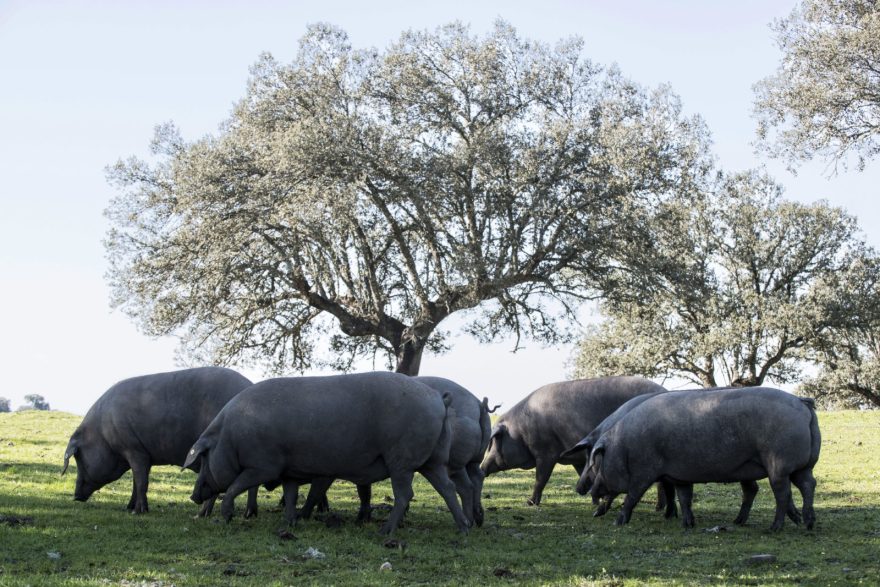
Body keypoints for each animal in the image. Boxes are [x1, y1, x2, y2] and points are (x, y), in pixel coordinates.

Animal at [60, 370, 254, 516]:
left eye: (79, 458)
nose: (75, 497)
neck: (102, 434)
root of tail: (248, 385)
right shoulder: (143, 455)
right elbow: (136, 482)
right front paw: (129, 508)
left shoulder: (134, 449)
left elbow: (141, 482)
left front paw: (138, 512)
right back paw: (248, 514)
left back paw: (201, 515)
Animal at [185, 374, 470, 536]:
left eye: (203, 459)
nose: (193, 495)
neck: (229, 437)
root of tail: (439, 399)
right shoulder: (289, 470)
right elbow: (291, 495)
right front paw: (290, 523)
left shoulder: (263, 466)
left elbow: (235, 486)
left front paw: (225, 517)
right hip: (434, 459)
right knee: (447, 487)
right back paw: (464, 528)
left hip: (402, 460)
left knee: (405, 494)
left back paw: (384, 532)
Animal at [478, 378, 664, 508]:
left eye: (494, 440)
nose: (482, 467)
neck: (520, 432)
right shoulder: (577, 458)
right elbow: (584, 474)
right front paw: (594, 501)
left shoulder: (546, 452)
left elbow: (541, 478)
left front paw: (529, 503)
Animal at [588, 388, 820, 532]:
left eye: (597, 464)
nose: (591, 491)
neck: (623, 447)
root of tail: (801, 402)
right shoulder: (680, 475)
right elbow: (685, 498)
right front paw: (688, 524)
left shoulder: (643, 471)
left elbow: (632, 496)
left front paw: (618, 522)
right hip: (803, 466)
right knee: (808, 484)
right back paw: (807, 523)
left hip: (778, 464)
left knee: (783, 493)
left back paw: (774, 528)